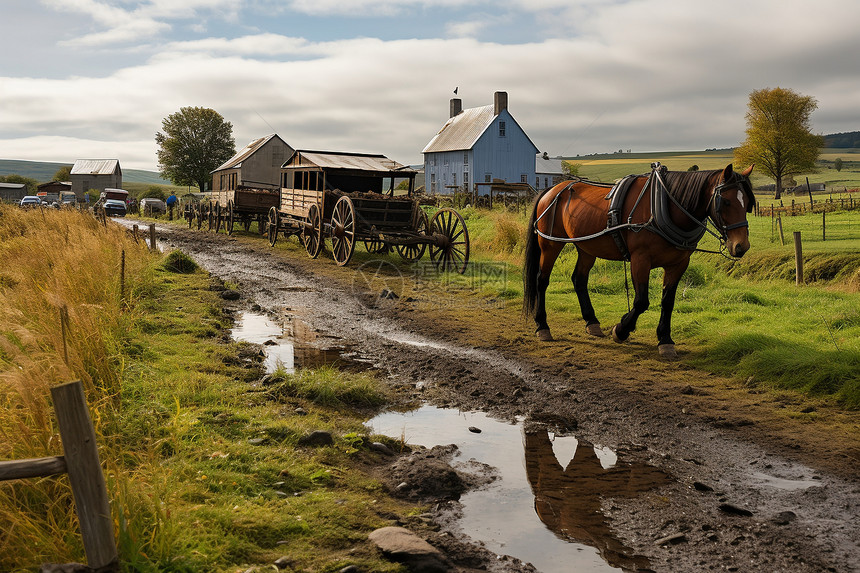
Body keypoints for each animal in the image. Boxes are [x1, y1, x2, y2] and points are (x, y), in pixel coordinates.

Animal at [516, 162, 752, 358]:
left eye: (748, 203)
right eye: (726, 201)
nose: (741, 246)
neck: (664, 206)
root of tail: (552, 190)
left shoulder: (678, 264)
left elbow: (668, 301)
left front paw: (665, 339)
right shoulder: (641, 259)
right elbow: (641, 301)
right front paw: (621, 330)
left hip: (586, 247)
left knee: (579, 279)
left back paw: (592, 322)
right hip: (550, 243)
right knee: (541, 280)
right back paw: (542, 326)